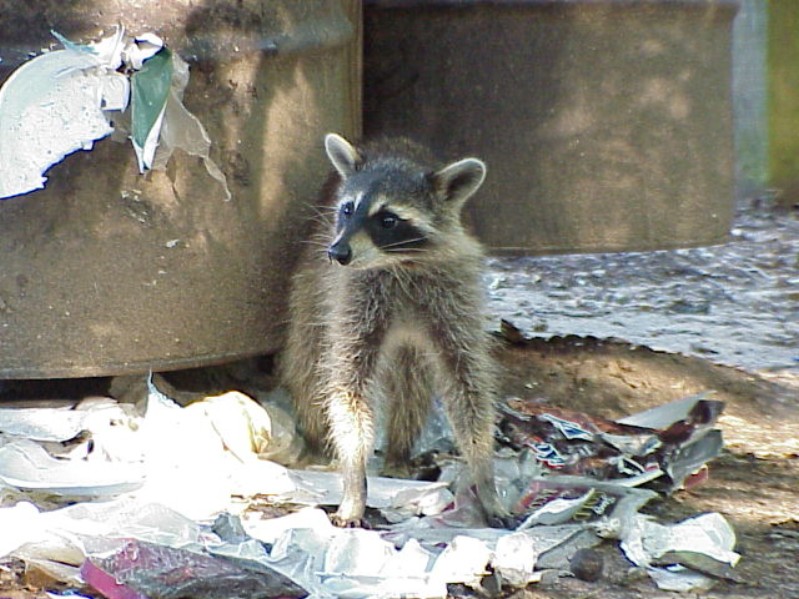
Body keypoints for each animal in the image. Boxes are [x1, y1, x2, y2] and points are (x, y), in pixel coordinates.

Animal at [282, 135, 506, 524]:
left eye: (387, 220)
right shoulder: (354, 295)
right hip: (309, 281)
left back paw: (399, 452)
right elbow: (347, 388)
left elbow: (468, 383)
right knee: (308, 360)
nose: (337, 252)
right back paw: (316, 441)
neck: (399, 261)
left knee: (412, 383)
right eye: (347, 210)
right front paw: (354, 479)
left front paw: (484, 474)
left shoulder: (453, 294)